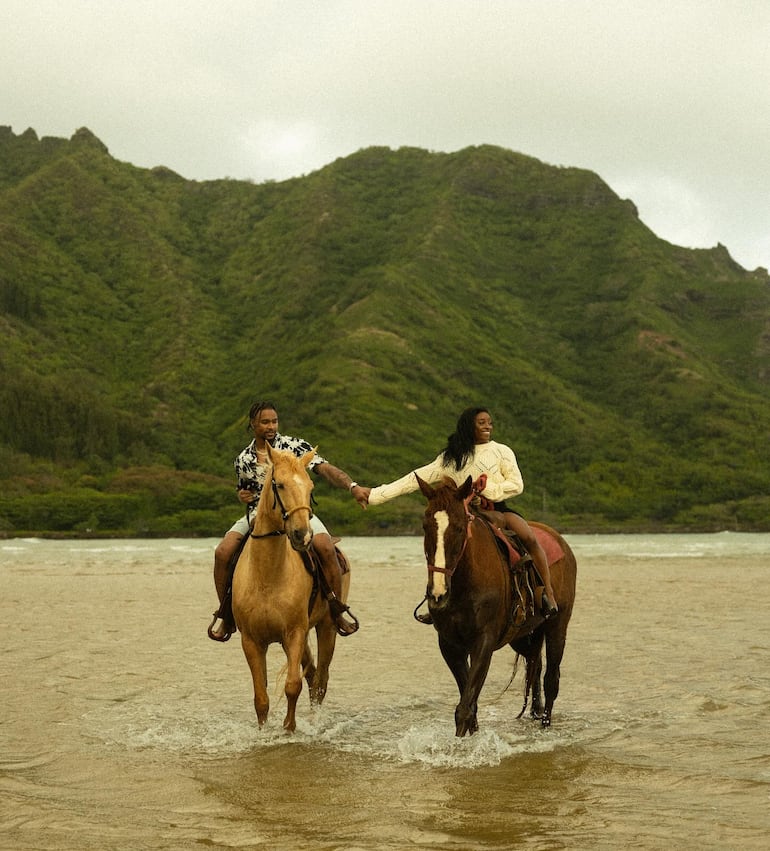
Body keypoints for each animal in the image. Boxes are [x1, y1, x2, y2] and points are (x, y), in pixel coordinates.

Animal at [231, 446, 352, 732]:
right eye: (280, 484)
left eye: (310, 487)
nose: (302, 536)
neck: (267, 576)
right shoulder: (251, 641)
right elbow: (261, 697)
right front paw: (264, 731)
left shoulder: (293, 634)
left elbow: (292, 686)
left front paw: (289, 728)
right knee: (313, 676)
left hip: (327, 627)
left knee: (320, 681)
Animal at [416, 476, 572, 736]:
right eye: (426, 526)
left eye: (459, 528)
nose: (438, 594)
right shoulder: (450, 645)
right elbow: (469, 704)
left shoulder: (483, 642)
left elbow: (465, 707)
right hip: (525, 635)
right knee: (535, 667)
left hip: (558, 626)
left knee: (551, 679)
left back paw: (545, 725)